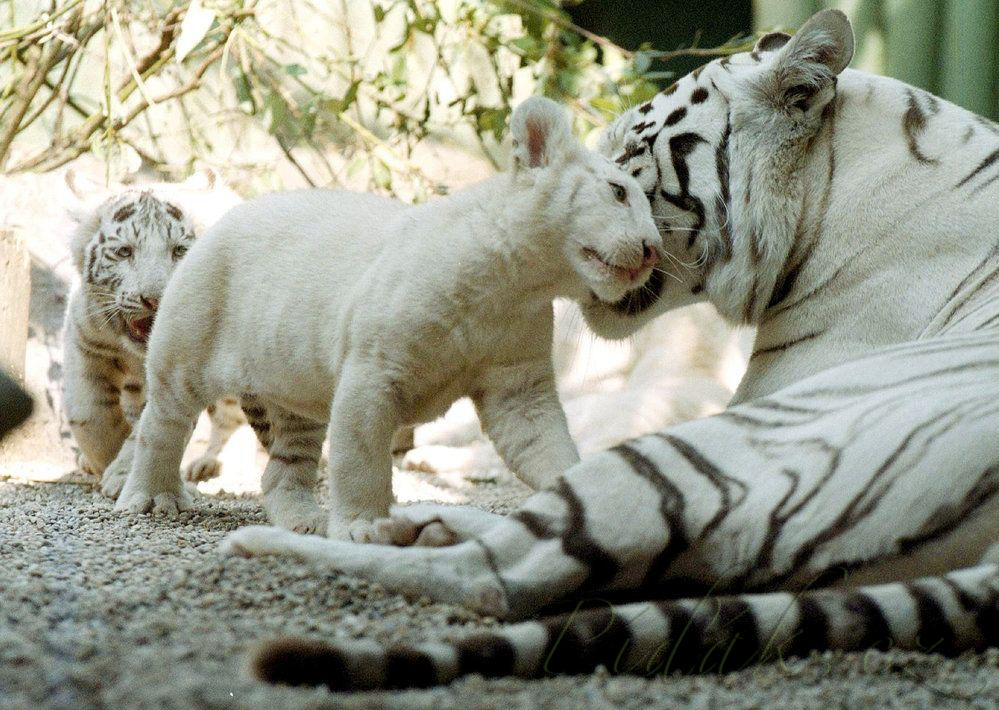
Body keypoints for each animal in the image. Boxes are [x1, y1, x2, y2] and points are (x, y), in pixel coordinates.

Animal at [223, 9, 996, 688]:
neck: (830, 188)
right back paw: (419, 522)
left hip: (709, 449)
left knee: (496, 577)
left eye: (630, 153)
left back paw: (292, 540)